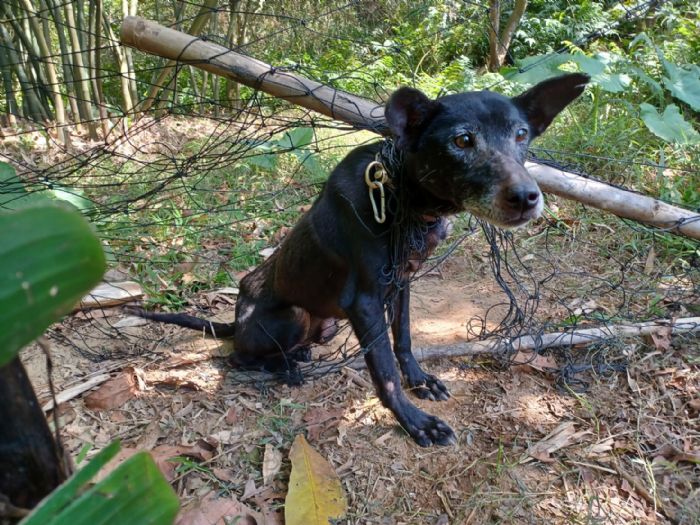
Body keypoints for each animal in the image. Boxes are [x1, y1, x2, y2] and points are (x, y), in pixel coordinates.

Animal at [129, 71, 588, 444]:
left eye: (521, 135)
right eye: (462, 140)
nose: (527, 198)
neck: (403, 200)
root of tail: (234, 322)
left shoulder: (401, 283)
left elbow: (403, 339)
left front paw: (420, 380)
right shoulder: (365, 300)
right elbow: (384, 373)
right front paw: (416, 422)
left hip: (327, 325)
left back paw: (296, 356)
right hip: (290, 316)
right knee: (238, 357)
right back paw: (284, 367)